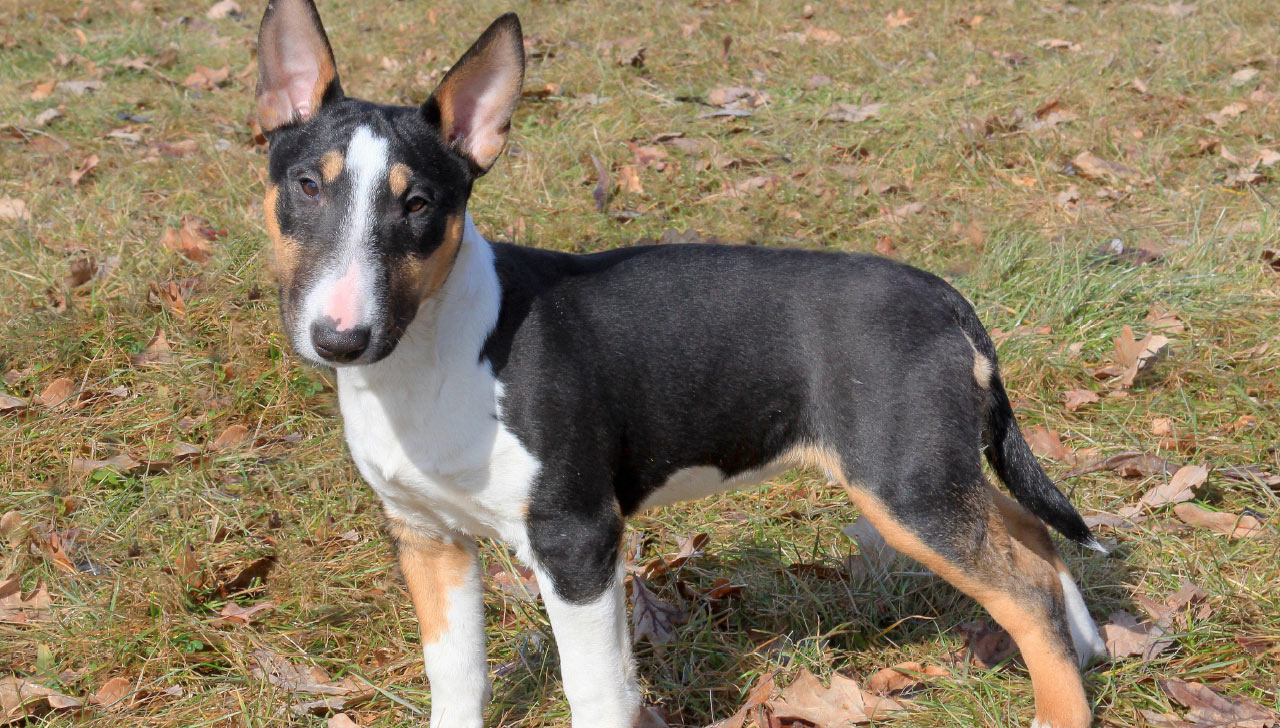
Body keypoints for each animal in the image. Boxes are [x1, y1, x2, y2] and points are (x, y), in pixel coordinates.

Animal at [252, 2, 1111, 721]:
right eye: (306, 185)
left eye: (419, 205)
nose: (339, 338)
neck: (430, 357)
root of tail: (945, 299)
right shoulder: (428, 539)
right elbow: (454, 678)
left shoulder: (576, 540)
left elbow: (596, 690)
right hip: (934, 469)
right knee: (1027, 534)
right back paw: (1088, 646)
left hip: (906, 487)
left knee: (1024, 588)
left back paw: (1060, 702)